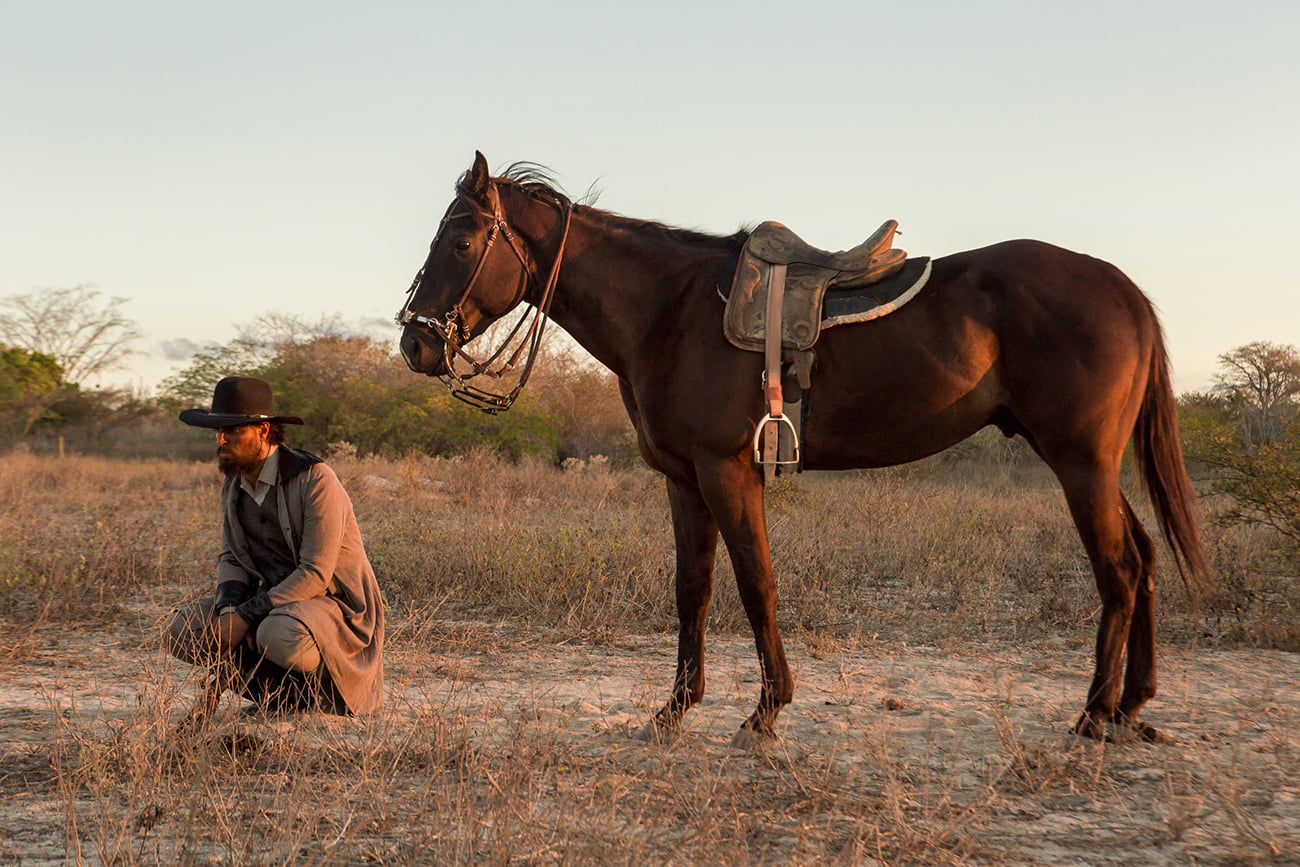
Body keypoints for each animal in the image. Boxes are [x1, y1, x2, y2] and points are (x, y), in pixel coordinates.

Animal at [397, 149, 1206, 748]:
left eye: (462, 241)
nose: (415, 342)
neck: (668, 310)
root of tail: (1121, 287)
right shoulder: (682, 479)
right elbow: (692, 590)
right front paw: (674, 710)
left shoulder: (727, 472)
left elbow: (757, 585)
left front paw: (766, 712)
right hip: (1089, 464)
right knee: (1144, 557)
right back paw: (1132, 706)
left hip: (1080, 464)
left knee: (1120, 569)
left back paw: (1094, 715)